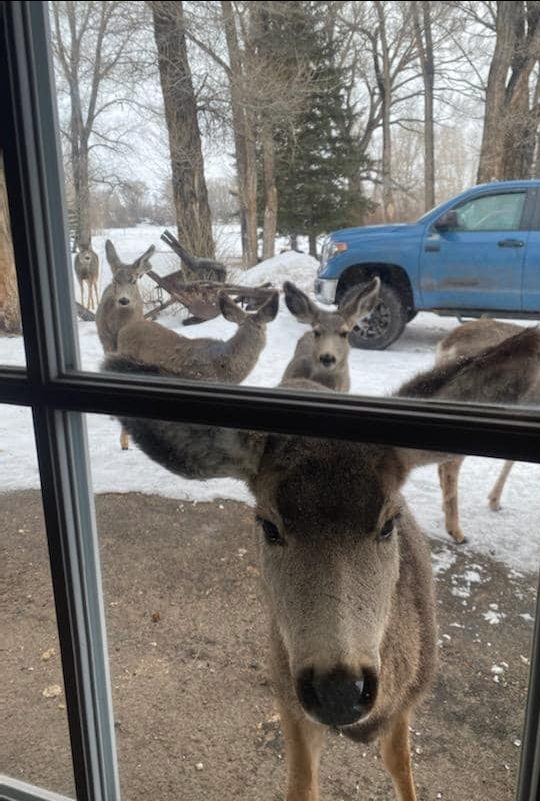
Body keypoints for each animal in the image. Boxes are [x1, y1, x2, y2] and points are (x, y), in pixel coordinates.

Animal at [95, 239, 155, 449]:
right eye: (115, 280)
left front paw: (125, 439)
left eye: (133, 280)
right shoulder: (107, 342)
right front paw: (123, 440)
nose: (123, 300)